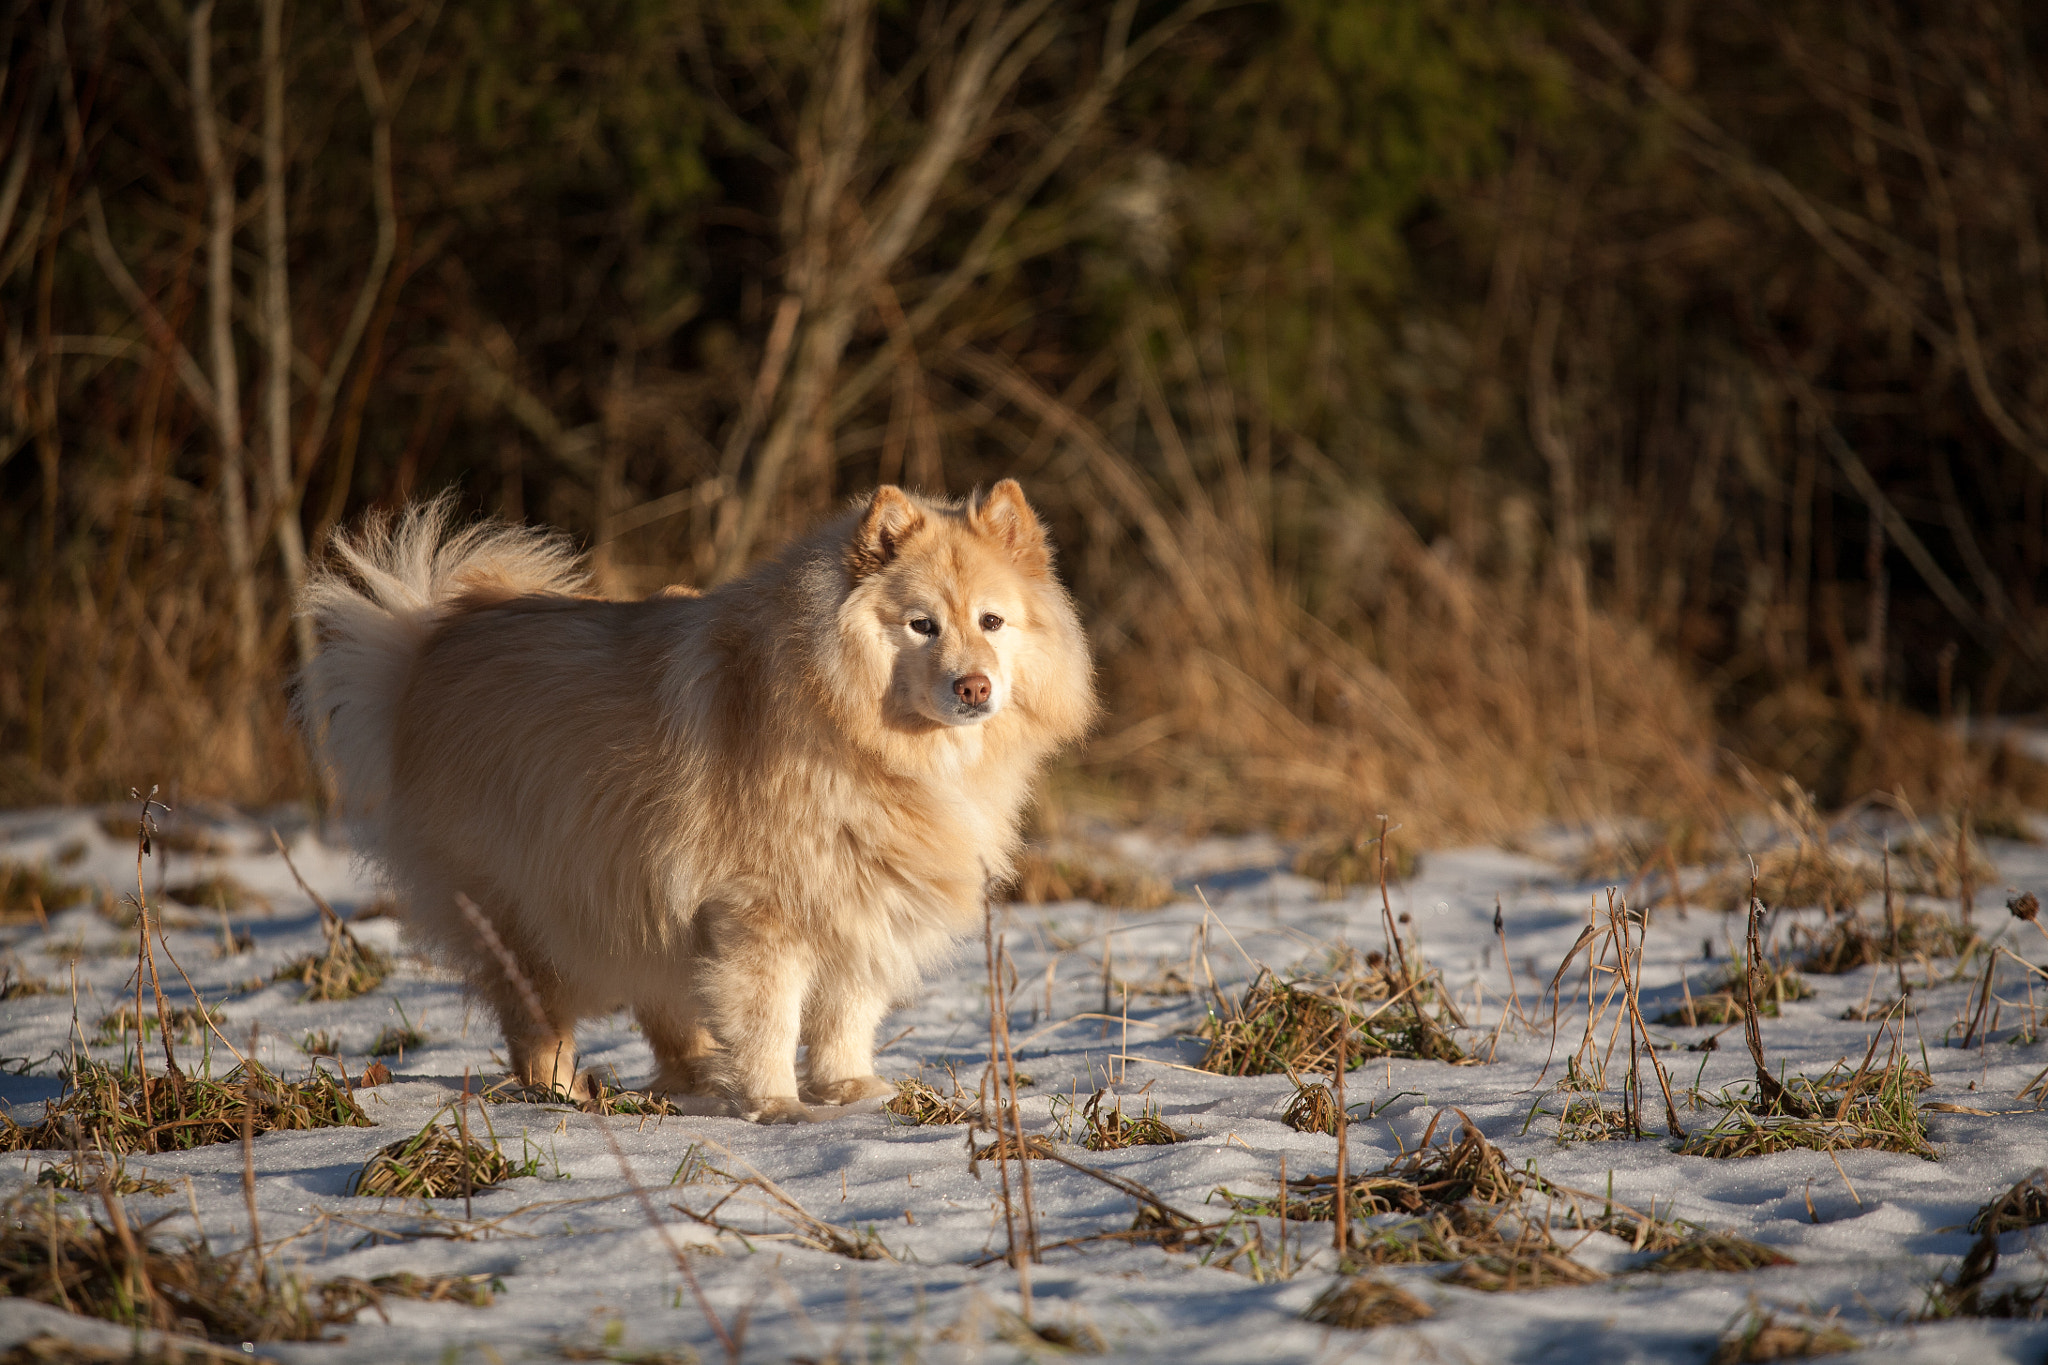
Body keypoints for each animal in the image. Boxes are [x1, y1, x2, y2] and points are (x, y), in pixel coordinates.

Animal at [299, 480, 1097, 1121]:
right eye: (921, 624)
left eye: (991, 622)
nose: (974, 686)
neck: (865, 738)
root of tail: (426, 645)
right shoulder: (764, 913)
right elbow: (774, 1018)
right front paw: (777, 1105)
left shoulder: (857, 900)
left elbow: (845, 1013)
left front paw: (849, 1092)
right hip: (532, 910)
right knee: (538, 1024)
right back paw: (564, 1095)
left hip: (640, 903)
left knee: (666, 1013)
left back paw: (697, 1074)